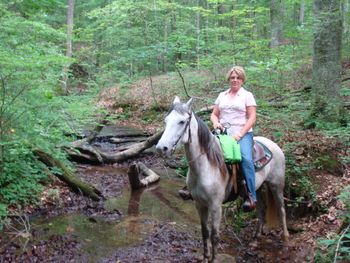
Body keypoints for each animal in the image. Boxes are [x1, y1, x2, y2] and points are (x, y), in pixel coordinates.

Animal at [156, 97, 290, 263]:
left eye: (182, 121)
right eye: (166, 121)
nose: (161, 148)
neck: (206, 166)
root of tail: (274, 145)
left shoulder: (215, 206)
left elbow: (215, 236)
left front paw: (213, 259)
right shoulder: (199, 204)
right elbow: (204, 232)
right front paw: (205, 258)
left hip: (276, 185)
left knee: (281, 210)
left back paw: (286, 239)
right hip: (257, 188)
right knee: (261, 209)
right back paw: (256, 238)